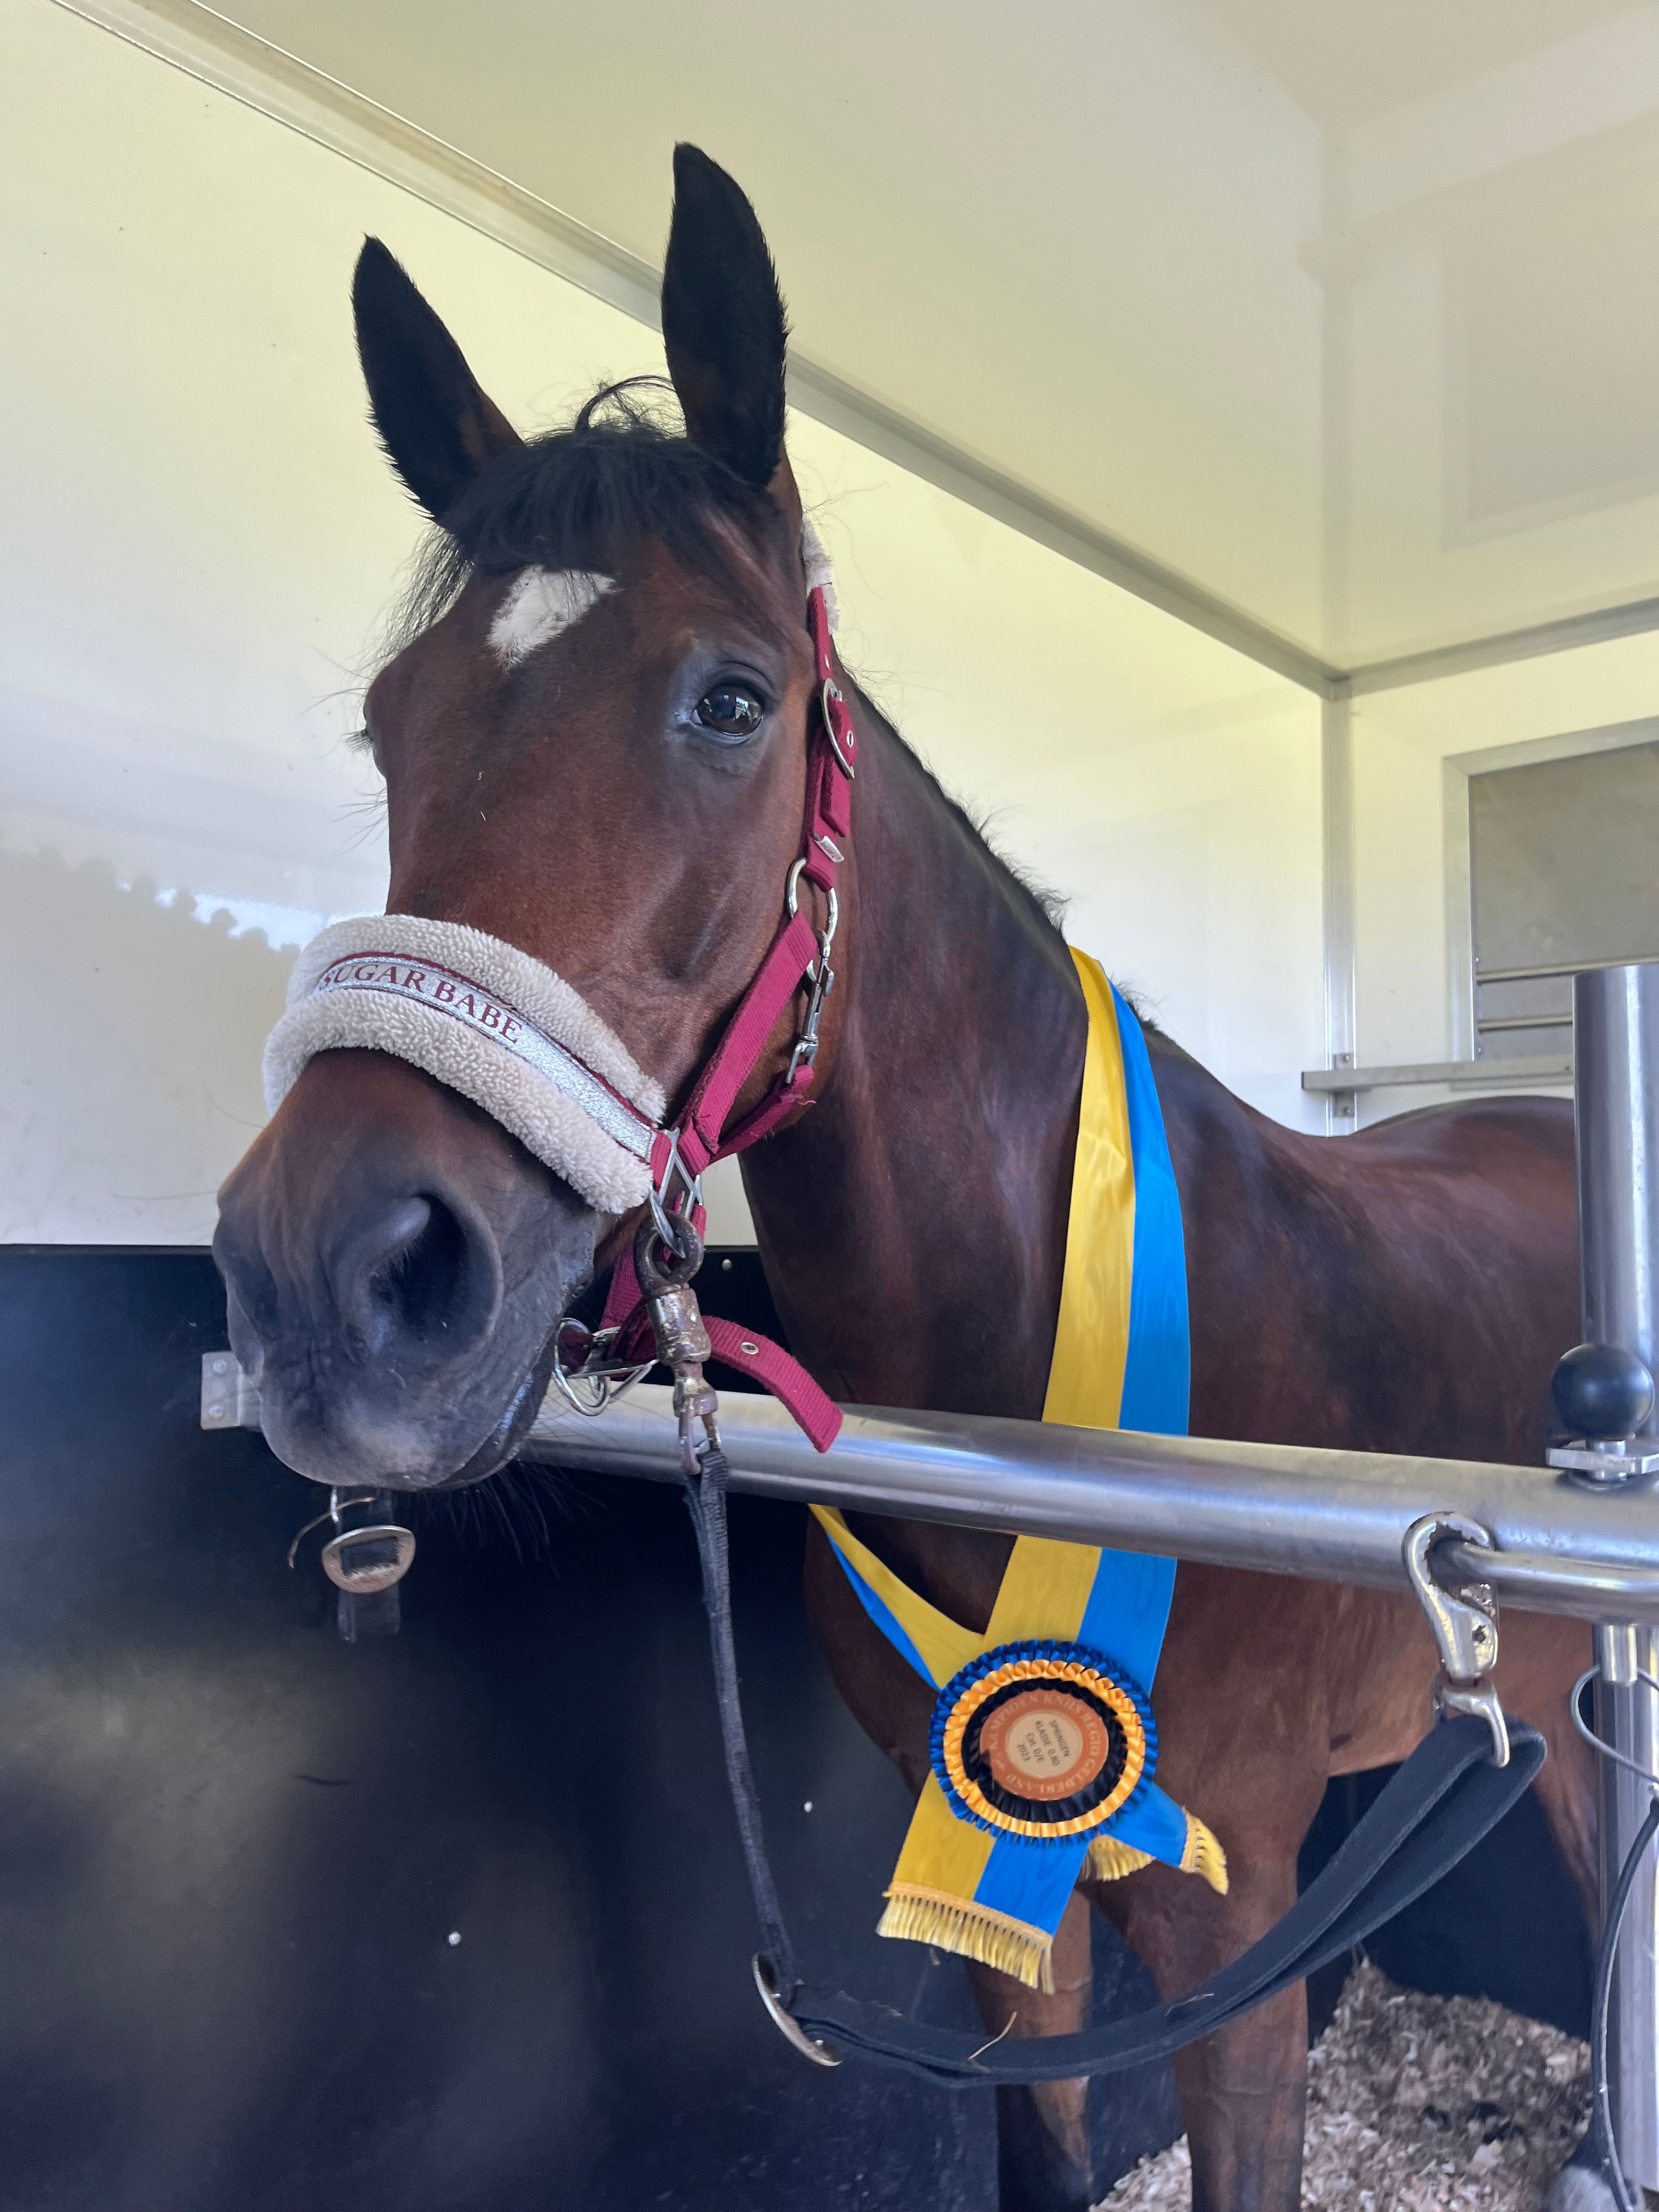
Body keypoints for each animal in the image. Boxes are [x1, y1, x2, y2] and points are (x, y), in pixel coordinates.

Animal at [214, 145, 1596, 2212]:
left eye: (730, 699)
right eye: (391, 720)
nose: (330, 1279)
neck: (1047, 1404)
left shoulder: (1236, 1954)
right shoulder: (1008, 1928)